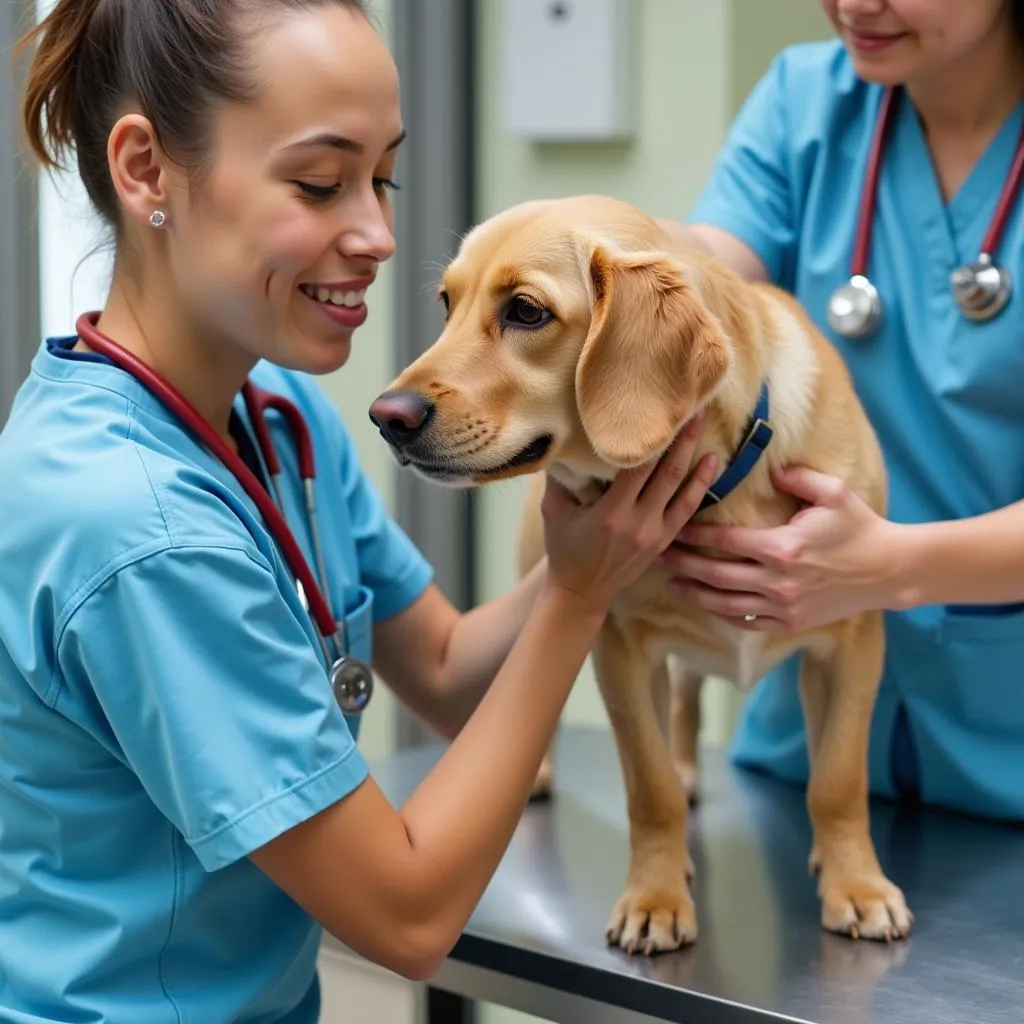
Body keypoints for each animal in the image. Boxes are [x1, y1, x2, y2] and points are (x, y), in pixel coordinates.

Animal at [368, 195, 913, 954]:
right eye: (447, 304)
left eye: (526, 311)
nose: (385, 417)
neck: (720, 491)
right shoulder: (619, 652)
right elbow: (649, 790)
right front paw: (655, 896)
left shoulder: (853, 643)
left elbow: (836, 781)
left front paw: (855, 885)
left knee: (686, 699)